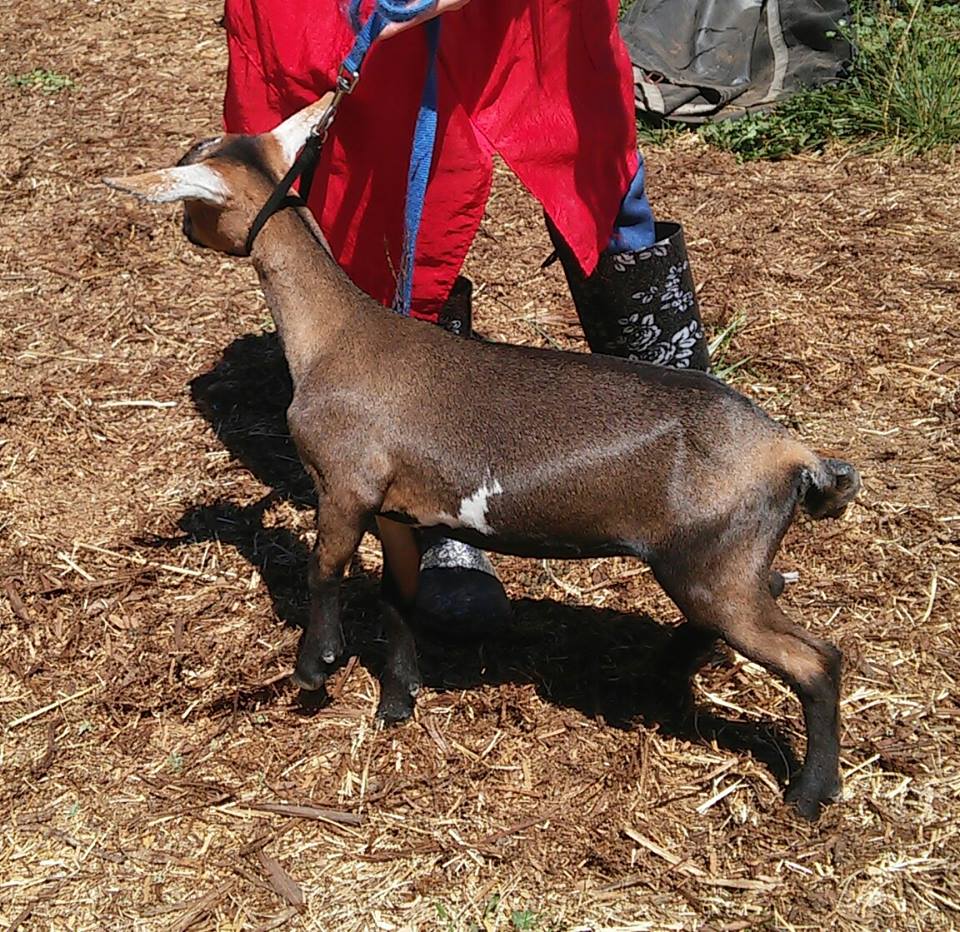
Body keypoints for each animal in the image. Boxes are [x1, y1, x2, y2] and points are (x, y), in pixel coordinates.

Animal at [105, 95, 861, 820]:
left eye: (192, 186)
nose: (183, 233)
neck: (335, 335)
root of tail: (791, 451)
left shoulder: (345, 485)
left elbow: (324, 571)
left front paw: (315, 667)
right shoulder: (398, 510)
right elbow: (397, 598)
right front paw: (398, 701)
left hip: (714, 567)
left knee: (818, 660)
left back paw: (809, 795)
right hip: (726, 566)